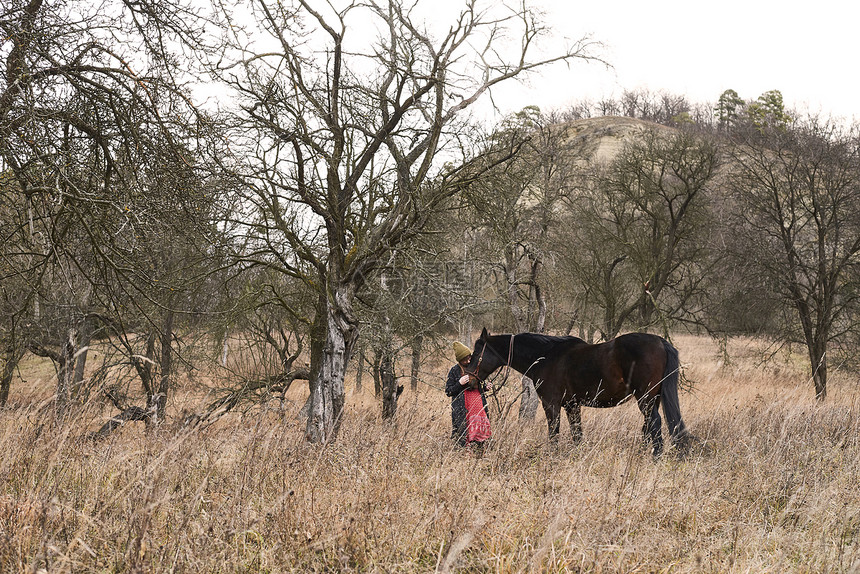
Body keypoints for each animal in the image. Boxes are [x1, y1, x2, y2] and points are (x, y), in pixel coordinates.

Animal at [466, 330, 688, 456]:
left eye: (476, 353)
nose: (469, 379)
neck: (546, 356)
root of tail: (661, 342)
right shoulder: (572, 406)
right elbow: (577, 434)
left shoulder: (551, 404)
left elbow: (554, 433)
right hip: (653, 399)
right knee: (648, 427)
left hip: (646, 399)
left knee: (655, 425)